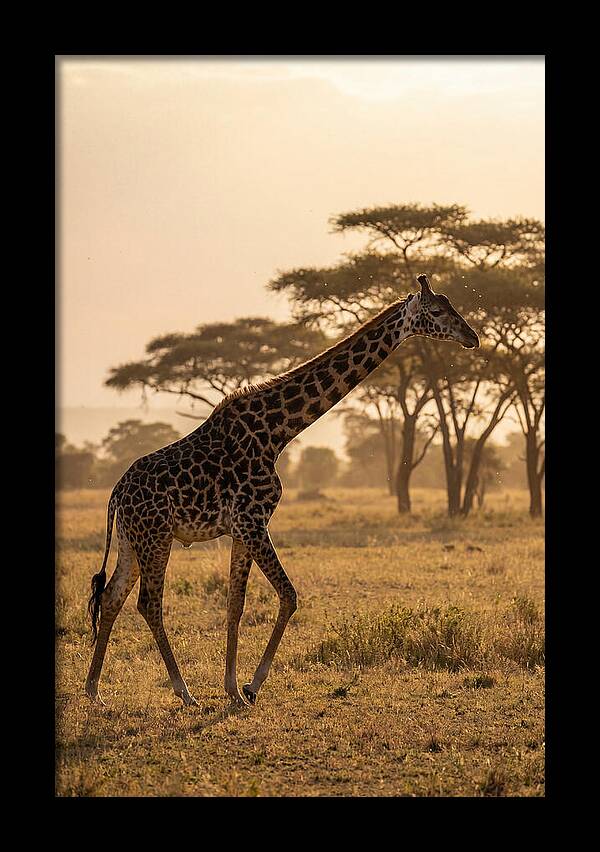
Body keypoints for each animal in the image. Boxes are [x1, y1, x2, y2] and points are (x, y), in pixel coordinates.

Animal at [85, 274, 479, 707]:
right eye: (438, 310)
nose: (472, 337)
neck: (277, 432)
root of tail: (116, 493)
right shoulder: (253, 520)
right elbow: (289, 595)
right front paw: (251, 685)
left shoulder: (241, 528)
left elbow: (236, 604)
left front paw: (232, 689)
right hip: (156, 537)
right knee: (148, 603)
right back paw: (183, 692)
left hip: (132, 541)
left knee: (111, 596)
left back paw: (93, 689)